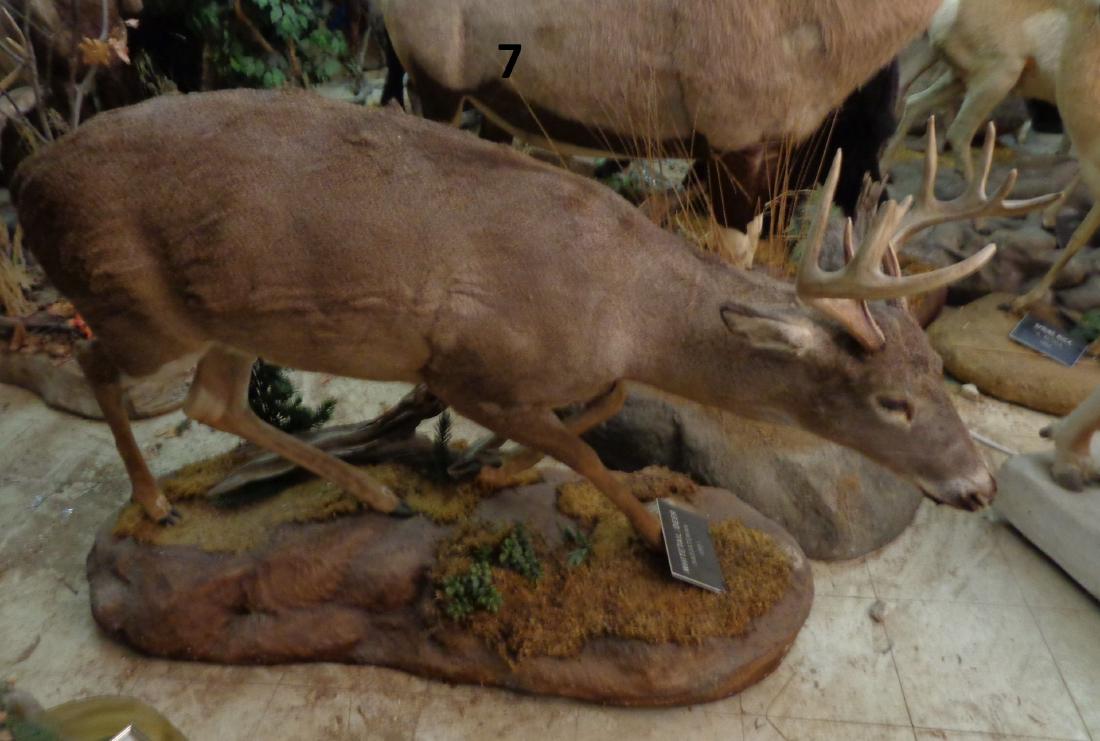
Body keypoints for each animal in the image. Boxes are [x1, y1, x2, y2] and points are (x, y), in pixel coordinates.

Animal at [14, 89, 1049, 549]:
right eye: (891, 402)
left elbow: (602, 409)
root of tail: (22, 178)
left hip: (229, 318)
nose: (980, 485)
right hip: (135, 300)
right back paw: (155, 501)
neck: (626, 303)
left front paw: (493, 466)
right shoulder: (473, 363)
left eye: (937, 378)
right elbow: (586, 449)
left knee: (215, 402)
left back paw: (376, 491)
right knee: (106, 369)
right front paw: (647, 527)